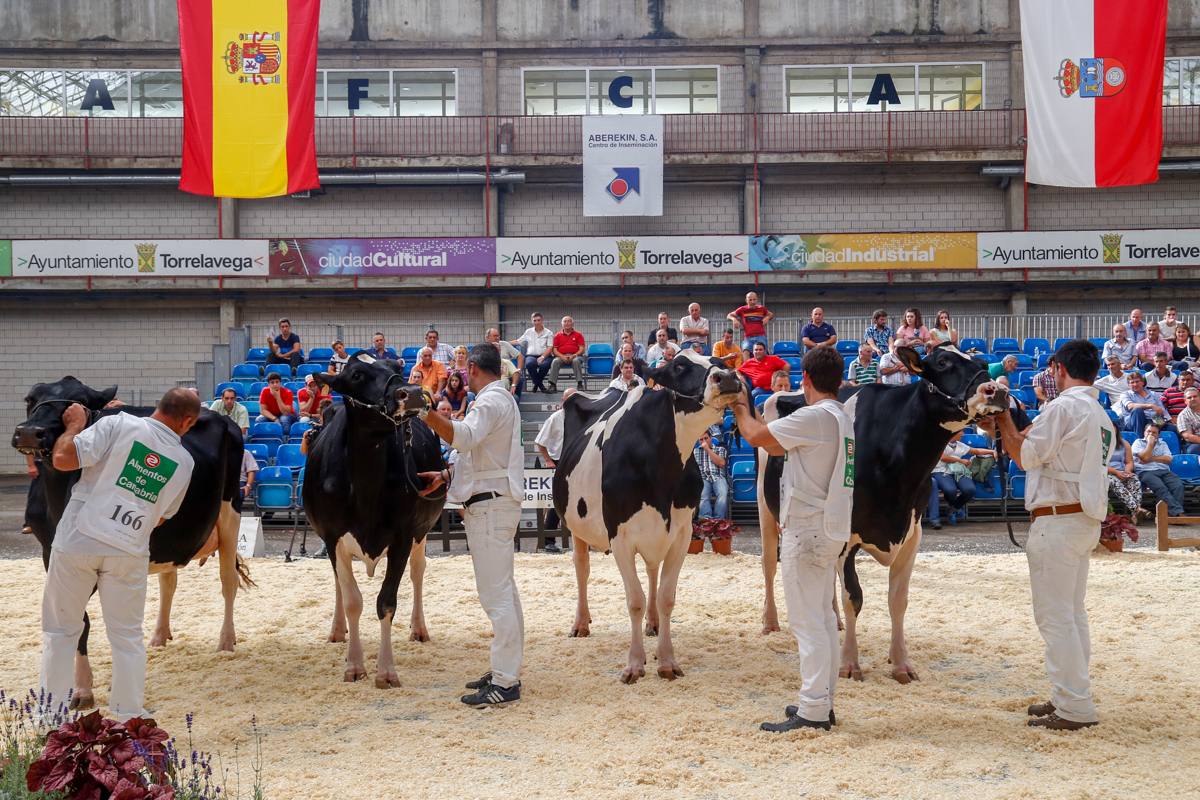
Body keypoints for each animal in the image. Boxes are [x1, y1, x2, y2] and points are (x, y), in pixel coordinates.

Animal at [302, 357, 448, 690]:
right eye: (356, 374)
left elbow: (387, 601)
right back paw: (337, 630)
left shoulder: (403, 537)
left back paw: (419, 628)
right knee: (338, 584)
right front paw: (355, 666)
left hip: (421, 532)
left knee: (418, 572)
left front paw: (386, 672)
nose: (413, 393)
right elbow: (352, 601)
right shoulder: (333, 537)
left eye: (396, 365)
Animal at [554, 350, 744, 681]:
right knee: (581, 568)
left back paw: (653, 624)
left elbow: (667, 597)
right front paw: (634, 663)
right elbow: (634, 601)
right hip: (576, 526)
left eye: (719, 361)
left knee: (652, 570)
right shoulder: (619, 537)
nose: (729, 377)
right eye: (679, 365)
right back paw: (580, 623)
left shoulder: (681, 534)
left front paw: (666, 660)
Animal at [758, 343, 1003, 681]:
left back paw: (833, 621)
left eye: (982, 364)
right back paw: (770, 621)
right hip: (766, 506)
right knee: (769, 562)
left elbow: (898, 601)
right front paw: (849, 663)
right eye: (942, 362)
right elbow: (854, 597)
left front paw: (901, 663)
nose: (997, 391)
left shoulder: (911, 534)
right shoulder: (845, 535)